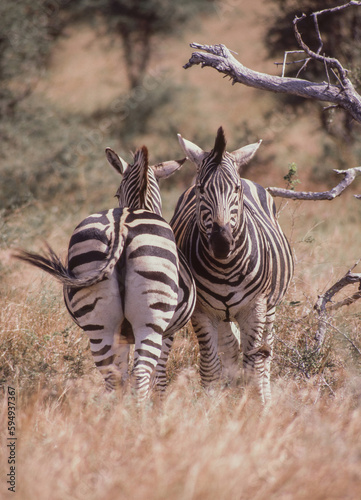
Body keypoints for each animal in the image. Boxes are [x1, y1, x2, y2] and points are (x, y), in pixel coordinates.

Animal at [14, 145, 194, 398]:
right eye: (117, 195)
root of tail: (122, 225)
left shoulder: (123, 334)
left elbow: (124, 372)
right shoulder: (168, 333)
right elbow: (158, 376)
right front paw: (160, 402)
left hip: (99, 323)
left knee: (112, 376)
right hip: (151, 321)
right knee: (141, 373)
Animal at [169, 128, 292, 402]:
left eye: (235, 189)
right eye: (201, 188)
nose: (221, 242)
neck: (225, 267)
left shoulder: (255, 308)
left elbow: (253, 366)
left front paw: (253, 406)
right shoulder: (202, 312)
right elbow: (210, 366)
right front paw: (214, 406)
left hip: (270, 308)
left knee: (265, 355)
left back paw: (266, 401)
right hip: (222, 315)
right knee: (231, 350)